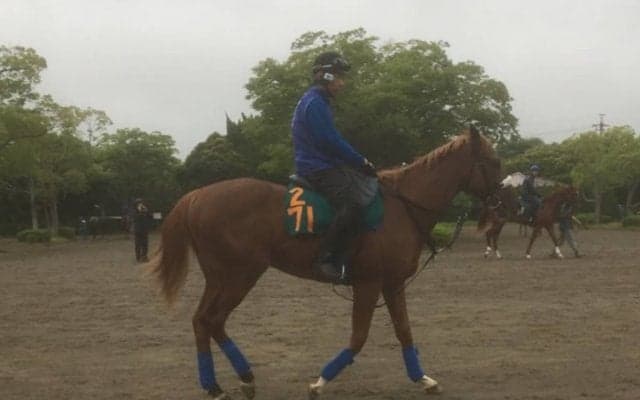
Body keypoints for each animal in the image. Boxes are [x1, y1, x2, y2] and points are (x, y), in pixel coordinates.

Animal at [148, 127, 502, 399]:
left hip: (221, 278)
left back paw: (229, 382)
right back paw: (232, 380)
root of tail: (197, 196)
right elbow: (358, 337)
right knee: (212, 320)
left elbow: (404, 331)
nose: (500, 202)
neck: (402, 207)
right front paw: (319, 382)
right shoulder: (369, 284)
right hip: (240, 276)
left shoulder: (392, 283)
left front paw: (424, 379)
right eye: (494, 162)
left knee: (204, 321)